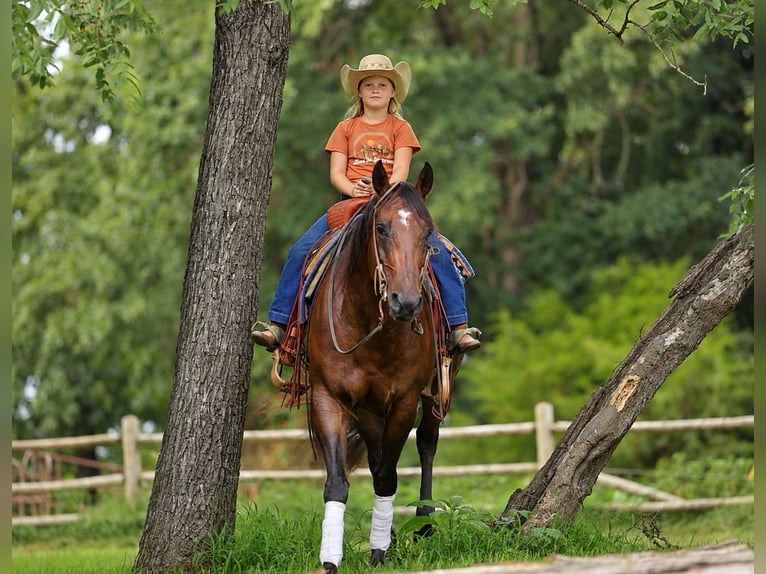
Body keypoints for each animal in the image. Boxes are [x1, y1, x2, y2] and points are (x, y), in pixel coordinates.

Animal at [306, 161, 458, 573]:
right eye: (381, 228)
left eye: (428, 232)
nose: (406, 302)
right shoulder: (329, 396)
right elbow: (339, 481)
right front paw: (330, 559)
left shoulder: (404, 401)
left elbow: (389, 477)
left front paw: (378, 551)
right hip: (369, 410)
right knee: (375, 460)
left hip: (434, 391)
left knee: (426, 444)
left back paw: (423, 524)